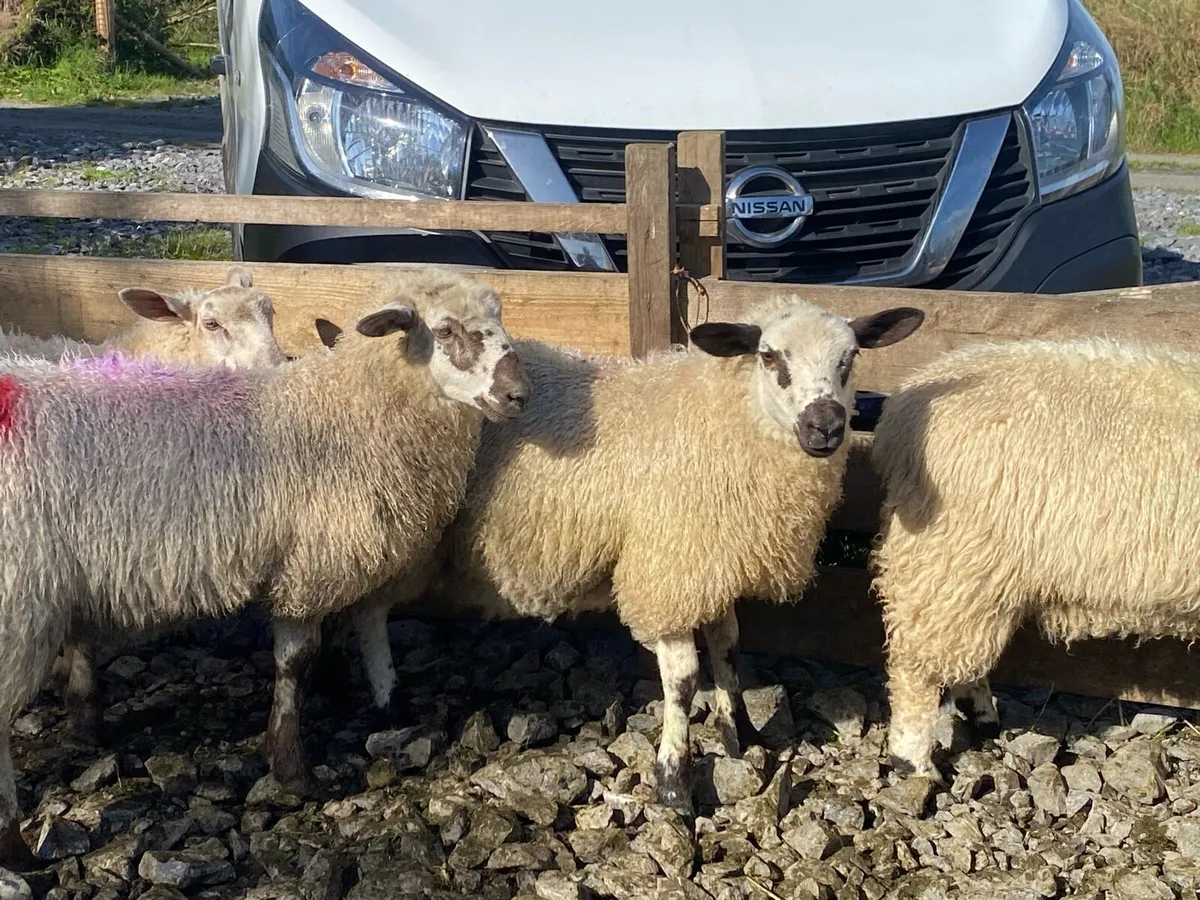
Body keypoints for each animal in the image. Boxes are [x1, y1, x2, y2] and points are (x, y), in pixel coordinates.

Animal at [0, 268, 530, 869]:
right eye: (444, 330)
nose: (519, 395)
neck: (340, 411)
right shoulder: (307, 566)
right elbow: (296, 663)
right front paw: (291, 768)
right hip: (20, 599)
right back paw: (13, 845)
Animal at [320, 295, 924, 817]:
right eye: (770, 357)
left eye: (850, 358)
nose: (826, 427)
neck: (722, 418)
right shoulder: (664, 568)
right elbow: (683, 680)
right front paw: (675, 781)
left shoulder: (711, 560)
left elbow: (728, 647)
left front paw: (739, 734)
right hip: (389, 528)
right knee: (367, 610)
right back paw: (386, 700)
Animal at [870, 336, 1200, 781]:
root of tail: (902, 410)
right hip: (953, 557)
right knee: (916, 665)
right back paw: (913, 762)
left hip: (972, 573)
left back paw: (982, 717)